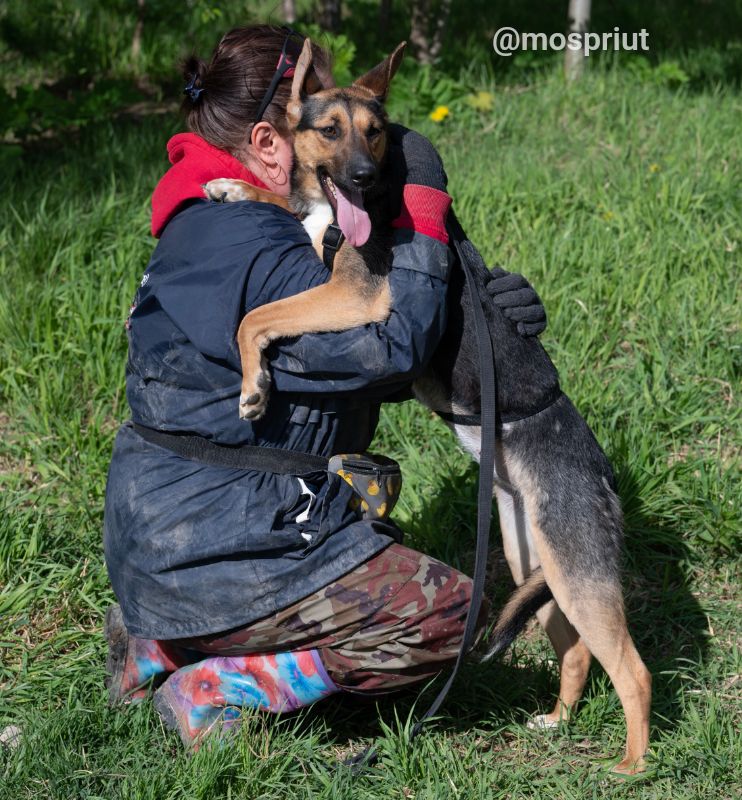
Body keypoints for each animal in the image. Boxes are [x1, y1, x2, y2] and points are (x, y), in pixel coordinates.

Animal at [203, 36, 652, 776]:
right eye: (330, 129)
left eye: (377, 131)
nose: (360, 176)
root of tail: (603, 475)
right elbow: (285, 205)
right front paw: (234, 187)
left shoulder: (357, 294)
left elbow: (254, 317)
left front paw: (252, 388)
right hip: (537, 567)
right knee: (578, 652)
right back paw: (557, 722)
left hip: (579, 575)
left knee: (633, 671)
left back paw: (633, 767)